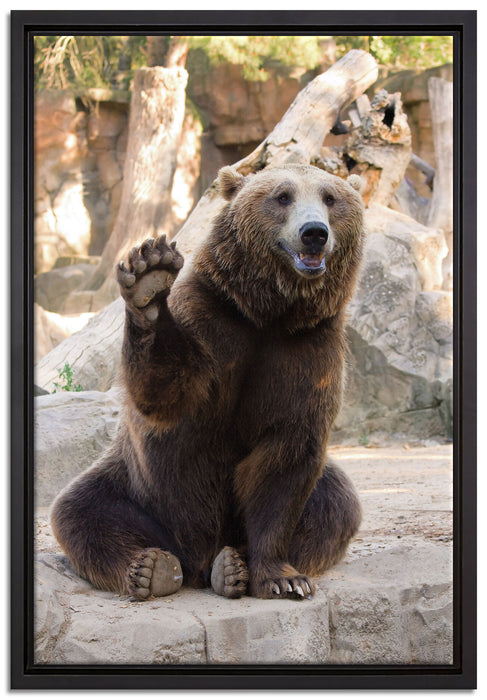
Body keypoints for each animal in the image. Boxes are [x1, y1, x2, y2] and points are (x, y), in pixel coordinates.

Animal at [51, 163, 365, 601]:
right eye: (282, 196)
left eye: (330, 198)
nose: (314, 232)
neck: (270, 314)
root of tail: (195, 560)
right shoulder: (211, 322)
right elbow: (166, 392)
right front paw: (149, 279)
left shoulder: (309, 351)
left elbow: (286, 460)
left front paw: (282, 578)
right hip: (136, 487)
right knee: (80, 512)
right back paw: (151, 569)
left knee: (336, 506)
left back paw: (231, 565)